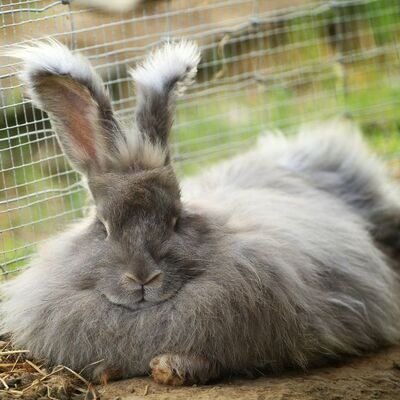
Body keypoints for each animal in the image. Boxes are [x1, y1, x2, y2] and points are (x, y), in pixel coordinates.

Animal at [0, 39, 400, 386]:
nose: (142, 278)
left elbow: (212, 361)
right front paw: (107, 371)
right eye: (104, 226)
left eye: (176, 220)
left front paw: (170, 368)